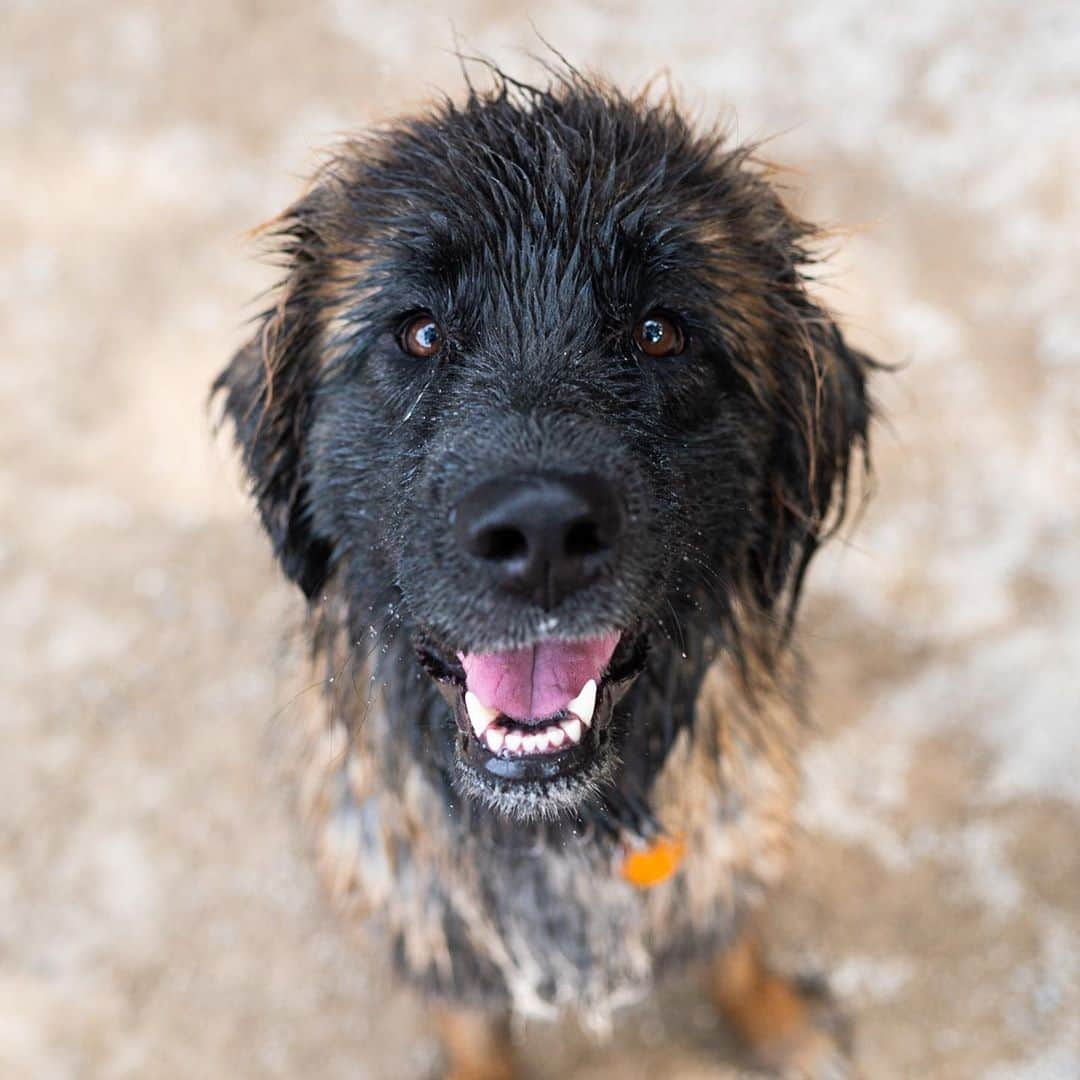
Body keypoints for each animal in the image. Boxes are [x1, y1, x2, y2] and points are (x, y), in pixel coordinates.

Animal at [214, 69, 872, 1080]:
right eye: (418, 332)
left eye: (660, 331)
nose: (541, 532)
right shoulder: (435, 937)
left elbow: (734, 942)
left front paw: (779, 1024)